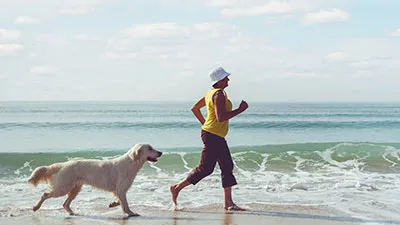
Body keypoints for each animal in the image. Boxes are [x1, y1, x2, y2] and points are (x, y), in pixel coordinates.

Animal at [27, 144, 162, 216]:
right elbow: (125, 203)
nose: (161, 152)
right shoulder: (121, 189)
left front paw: (113, 204)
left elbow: (120, 201)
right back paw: (35, 207)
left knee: (65, 203)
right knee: (45, 194)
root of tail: (63, 164)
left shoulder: (119, 190)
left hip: (75, 188)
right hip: (63, 187)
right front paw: (131, 213)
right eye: (150, 148)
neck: (131, 162)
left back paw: (71, 213)